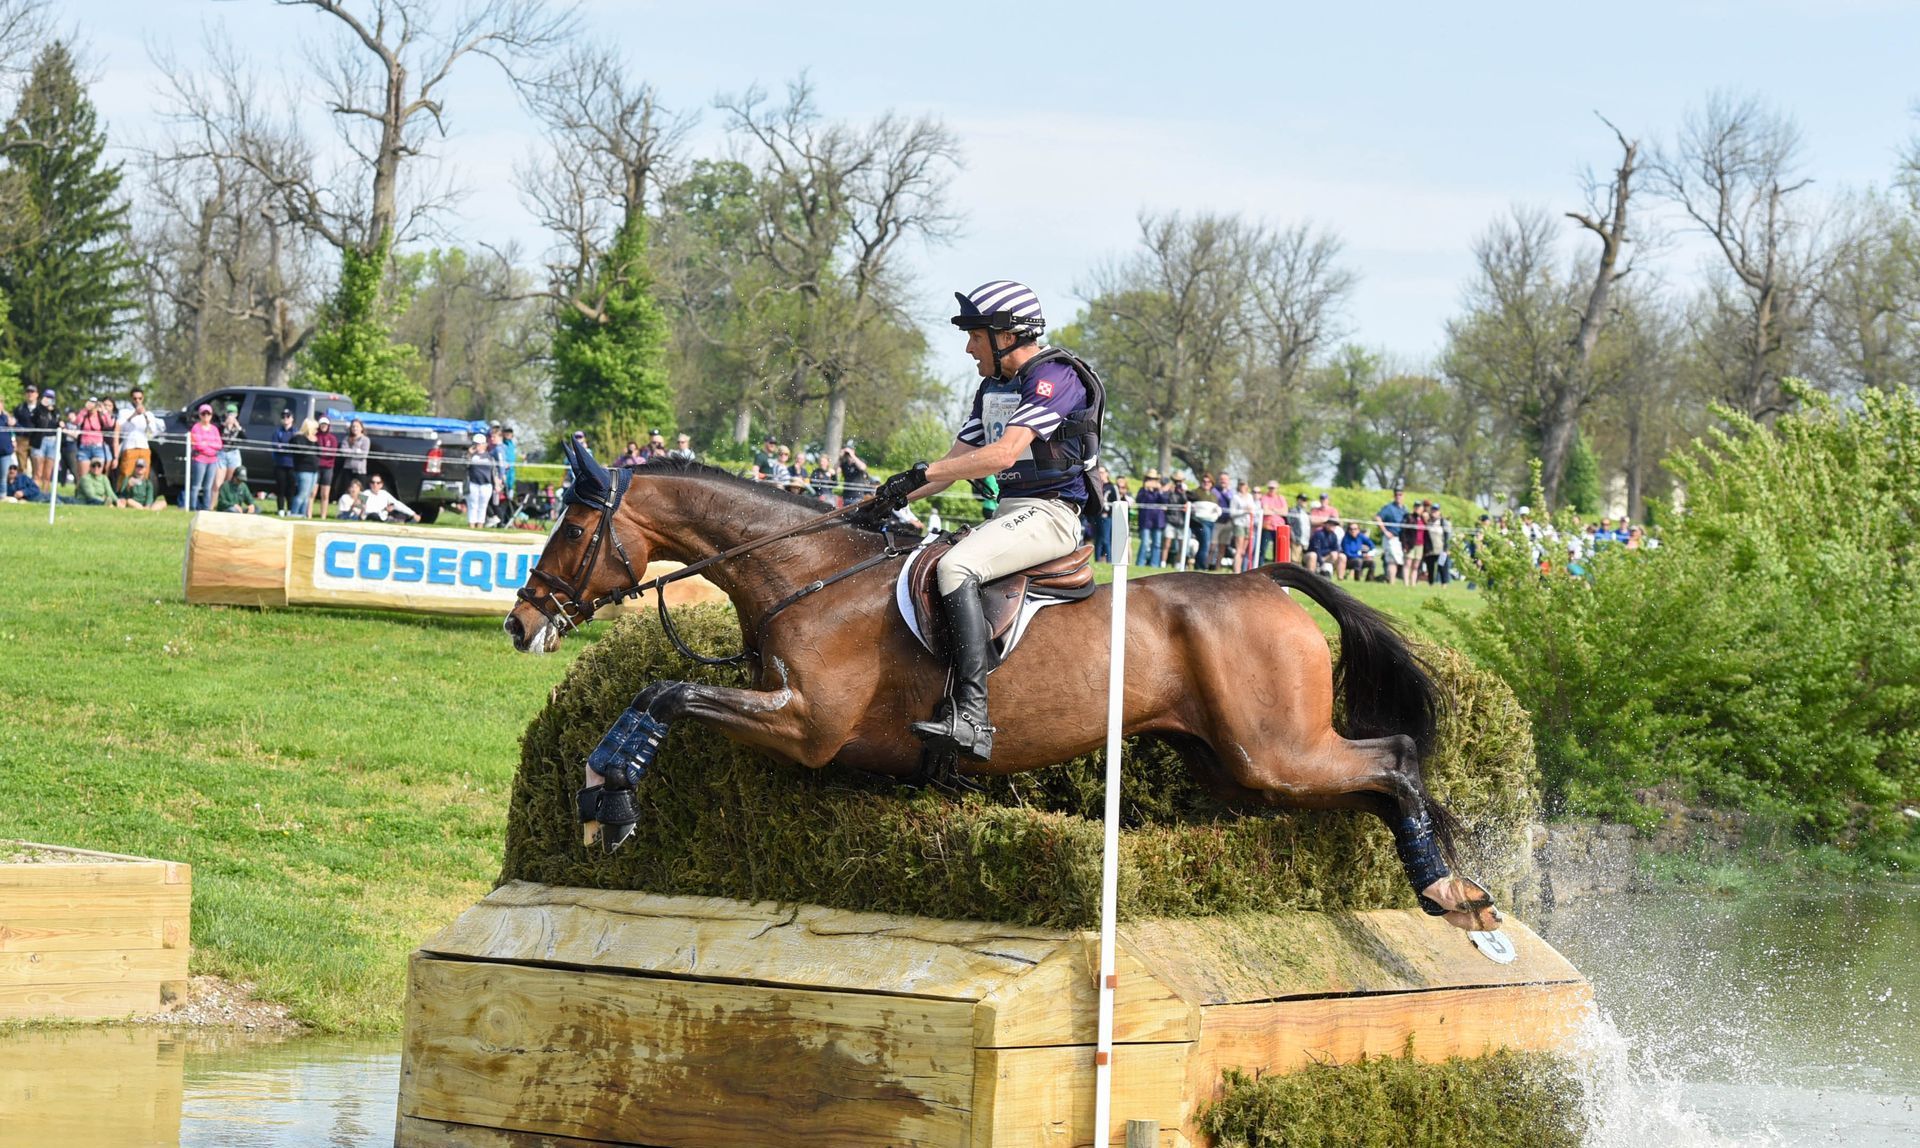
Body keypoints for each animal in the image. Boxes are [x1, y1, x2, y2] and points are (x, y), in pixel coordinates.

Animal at [499, 449, 1497, 936]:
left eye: (573, 528)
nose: (520, 623)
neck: (807, 574)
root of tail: (1264, 576)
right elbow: (659, 694)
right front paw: (602, 792)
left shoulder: (808, 728)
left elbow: (665, 695)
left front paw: (608, 797)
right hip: (1236, 767)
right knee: (1368, 781)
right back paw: (1443, 882)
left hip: (1274, 751)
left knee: (1394, 758)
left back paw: (1452, 892)